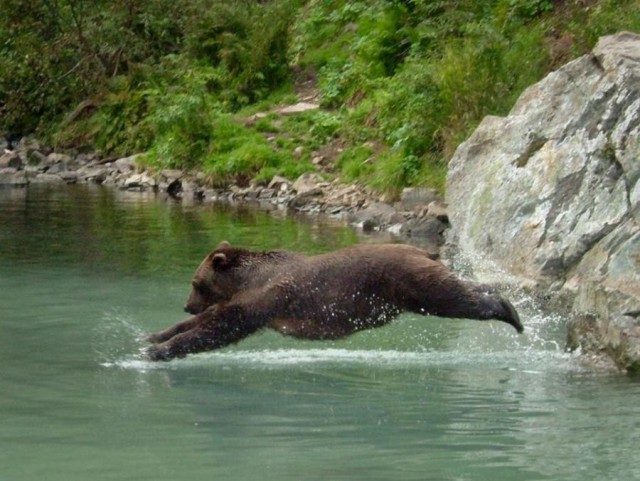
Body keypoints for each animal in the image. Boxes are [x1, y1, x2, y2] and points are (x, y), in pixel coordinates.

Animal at [146, 240, 524, 360]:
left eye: (195, 283)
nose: (187, 303)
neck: (244, 280)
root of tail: (425, 250)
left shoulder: (267, 296)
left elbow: (223, 326)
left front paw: (160, 350)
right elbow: (212, 319)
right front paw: (154, 335)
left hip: (409, 281)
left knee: (453, 300)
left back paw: (511, 313)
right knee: (462, 287)